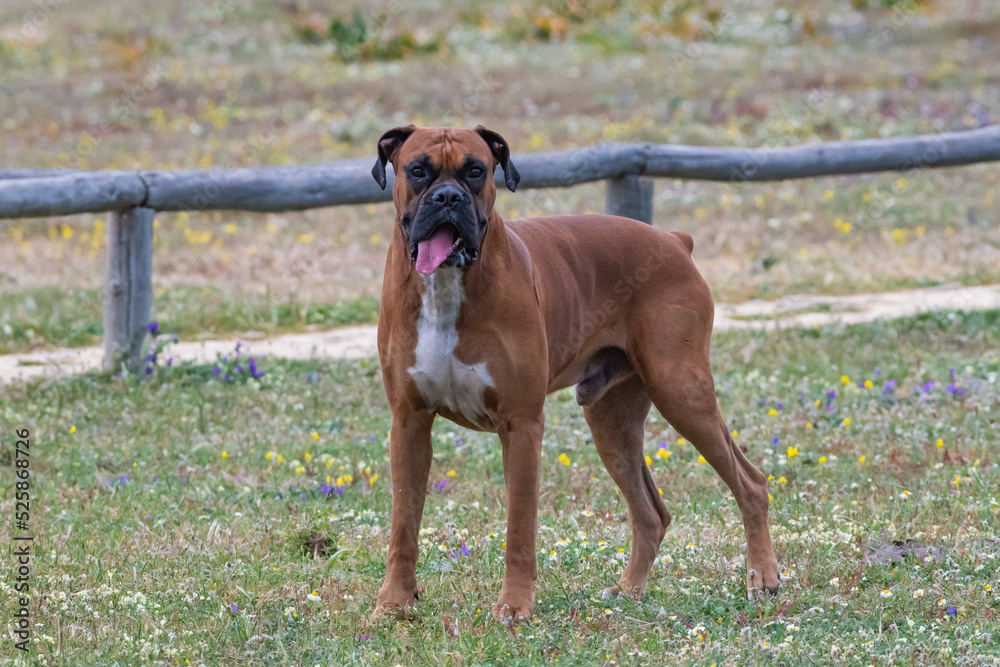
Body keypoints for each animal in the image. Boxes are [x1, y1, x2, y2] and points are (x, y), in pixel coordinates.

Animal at [372, 126, 776, 628]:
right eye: (418, 170)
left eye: (476, 170)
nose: (448, 197)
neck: (446, 283)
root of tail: (673, 241)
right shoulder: (409, 422)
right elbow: (403, 523)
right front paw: (394, 602)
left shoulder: (521, 425)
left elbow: (519, 528)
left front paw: (515, 607)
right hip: (612, 422)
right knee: (651, 513)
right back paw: (629, 592)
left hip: (682, 391)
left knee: (751, 484)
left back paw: (763, 577)